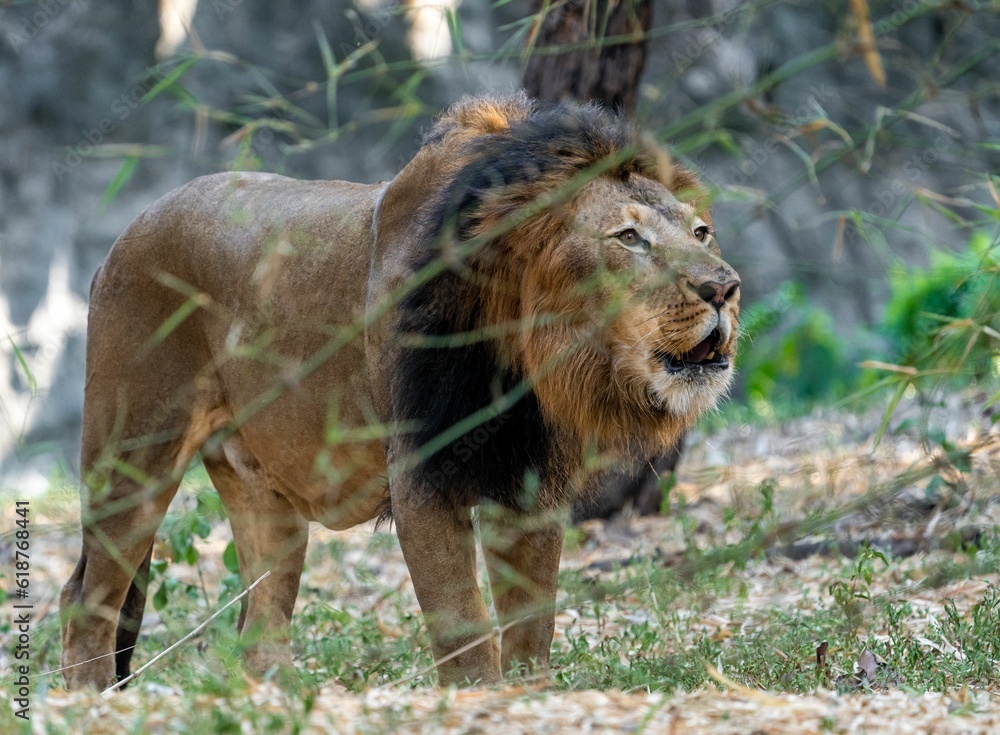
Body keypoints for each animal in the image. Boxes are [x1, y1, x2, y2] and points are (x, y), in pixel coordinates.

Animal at [59, 92, 740, 690]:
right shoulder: (422, 476)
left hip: (264, 496)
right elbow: (461, 621)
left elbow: (530, 619)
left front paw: (533, 693)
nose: (725, 288)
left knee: (260, 618)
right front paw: (480, 698)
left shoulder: (525, 481)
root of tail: (121, 239)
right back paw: (89, 700)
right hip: (133, 455)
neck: (520, 349)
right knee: (87, 600)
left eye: (701, 232)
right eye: (628, 238)